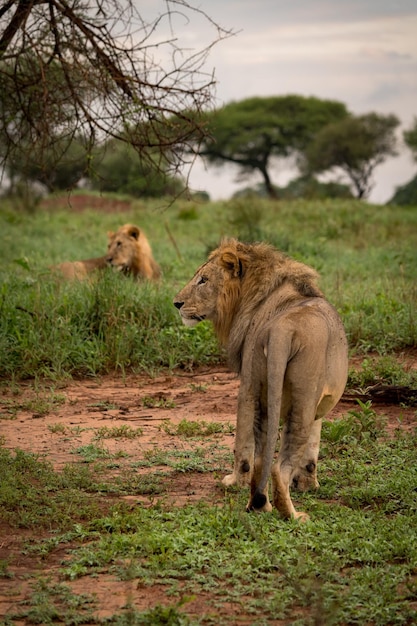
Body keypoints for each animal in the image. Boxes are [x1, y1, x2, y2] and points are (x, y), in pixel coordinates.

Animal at [172, 236, 348, 520]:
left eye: (203, 280)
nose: (176, 304)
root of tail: (284, 329)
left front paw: (306, 484)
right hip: (296, 396)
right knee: (274, 462)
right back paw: (291, 514)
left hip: (268, 392)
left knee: (261, 458)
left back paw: (261, 504)